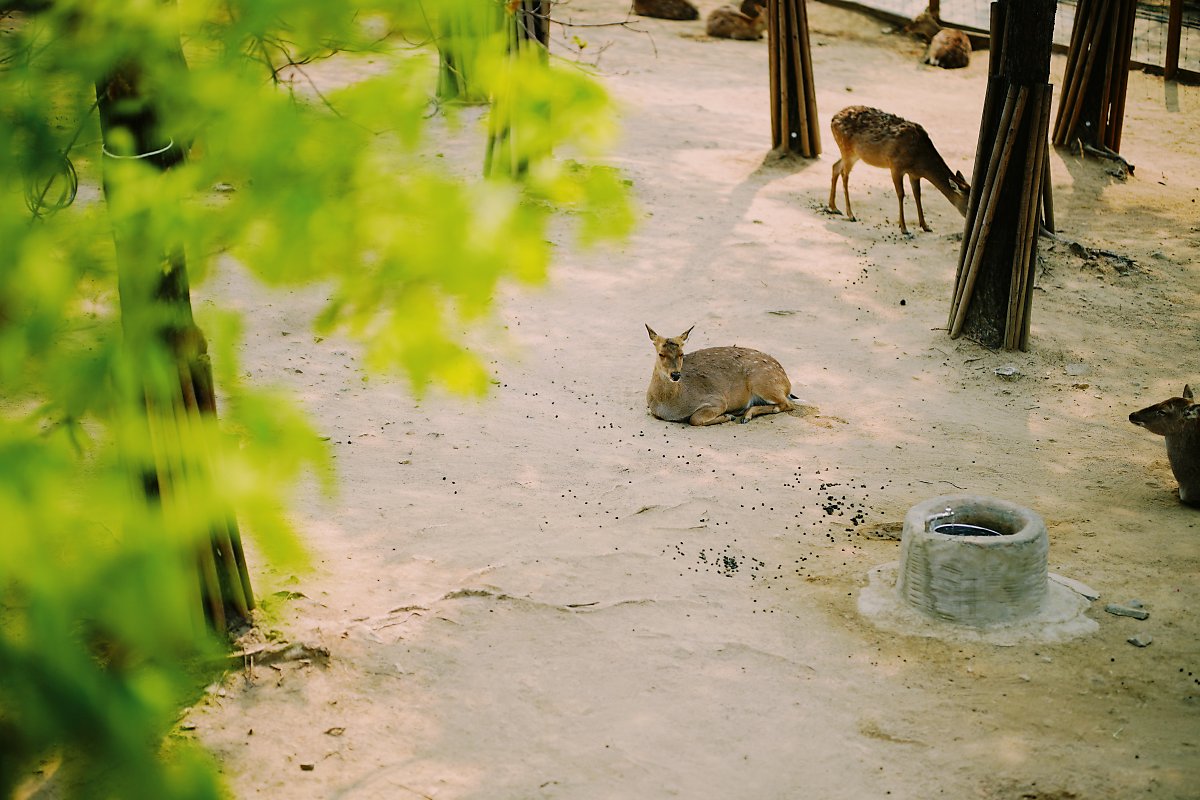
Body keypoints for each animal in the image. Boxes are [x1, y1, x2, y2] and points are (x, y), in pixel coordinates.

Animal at [643, 323, 801, 424]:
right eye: (661, 354)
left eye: (682, 354)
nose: (675, 375)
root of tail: (786, 382)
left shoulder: (717, 400)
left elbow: (695, 419)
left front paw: (728, 416)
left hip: (762, 381)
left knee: (787, 404)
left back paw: (745, 416)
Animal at [830, 104, 969, 235]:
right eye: (968, 205)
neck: (920, 159)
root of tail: (833, 119)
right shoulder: (896, 166)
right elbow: (901, 194)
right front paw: (904, 228)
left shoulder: (914, 174)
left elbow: (917, 195)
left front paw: (926, 226)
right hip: (847, 149)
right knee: (844, 174)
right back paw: (850, 214)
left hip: (853, 154)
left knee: (835, 166)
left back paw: (833, 207)